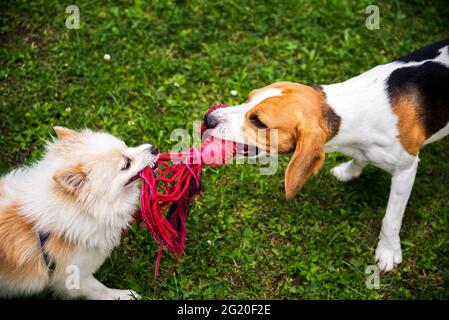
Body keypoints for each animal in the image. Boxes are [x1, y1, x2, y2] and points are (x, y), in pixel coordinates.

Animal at [0, 126, 158, 298]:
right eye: (126, 164)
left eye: (126, 145)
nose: (155, 148)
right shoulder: (73, 275)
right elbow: (100, 289)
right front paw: (124, 295)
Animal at [206, 38, 448, 272]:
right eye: (248, 99)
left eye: (258, 121)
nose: (208, 119)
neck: (346, 110)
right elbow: (360, 158)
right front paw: (349, 171)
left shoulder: (406, 170)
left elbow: (391, 218)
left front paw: (387, 251)